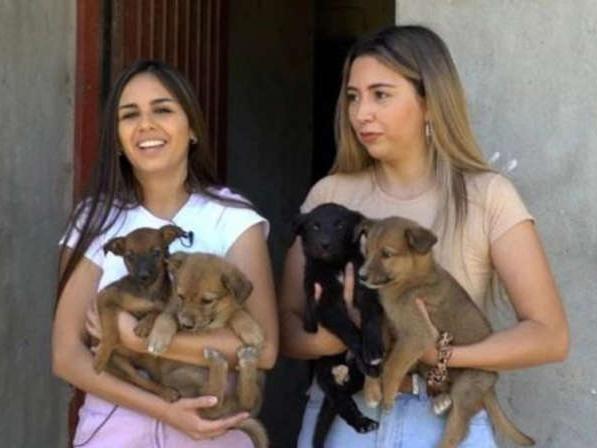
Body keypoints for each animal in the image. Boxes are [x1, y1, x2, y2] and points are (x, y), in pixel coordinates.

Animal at [91, 224, 189, 401]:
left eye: (156, 253)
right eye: (129, 256)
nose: (143, 276)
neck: (147, 290)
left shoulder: (169, 307)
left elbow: (156, 311)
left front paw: (144, 324)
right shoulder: (105, 297)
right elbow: (110, 331)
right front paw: (100, 357)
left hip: (152, 362)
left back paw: (168, 391)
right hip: (121, 364)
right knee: (140, 381)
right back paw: (166, 392)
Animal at [144, 251, 268, 448]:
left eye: (207, 301)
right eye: (180, 296)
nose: (186, 325)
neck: (212, 323)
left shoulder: (234, 309)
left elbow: (237, 312)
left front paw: (252, 330)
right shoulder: (174, 311)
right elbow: (166, 317)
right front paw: (158, 339)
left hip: (258, 379)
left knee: (245, 402)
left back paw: (245, 359)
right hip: (188, 377)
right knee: (211, 406)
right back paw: (220, 360)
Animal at [293, 203, 384, 447]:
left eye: (340, 225)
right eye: (315, 226)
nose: (325, 244)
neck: (336, 266)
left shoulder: (366, 292)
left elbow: (372, 318)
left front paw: (373, 350)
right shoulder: (324, 305)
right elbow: (347, 328)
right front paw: (362, 349)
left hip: (355, 379)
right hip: (325, 373)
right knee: (340, 402)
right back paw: (361, 423)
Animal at [357, 216, 534, 448]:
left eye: (386, 254)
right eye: (366, 251)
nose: (360, 276)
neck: (411, 279)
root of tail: (491, 383)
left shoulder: (417, 334)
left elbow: (392, 366)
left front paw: (387, 393)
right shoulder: (387, 324)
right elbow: (376, 357)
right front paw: (372, 389)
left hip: (466, 386)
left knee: (458, 430)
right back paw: (441, 400)